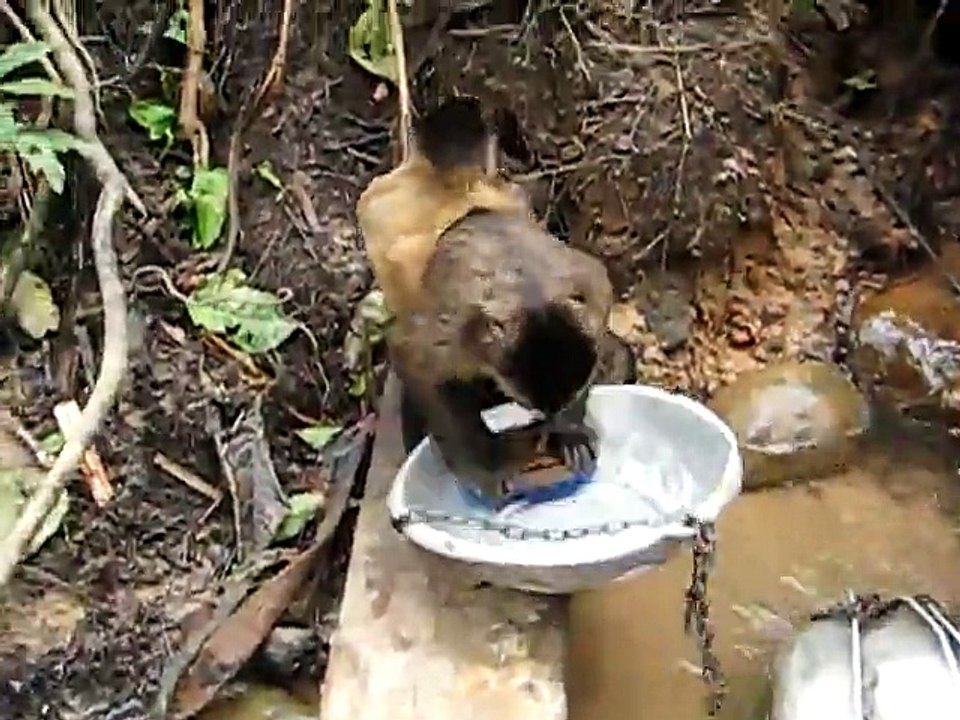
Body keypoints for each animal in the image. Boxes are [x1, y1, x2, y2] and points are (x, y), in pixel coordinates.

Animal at [356, 96, 634, 501]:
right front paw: (485, 464)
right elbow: (414, 360)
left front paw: (568, 430)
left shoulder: (588, 296)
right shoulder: (455, 332)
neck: (528, 295)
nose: (550, 422)